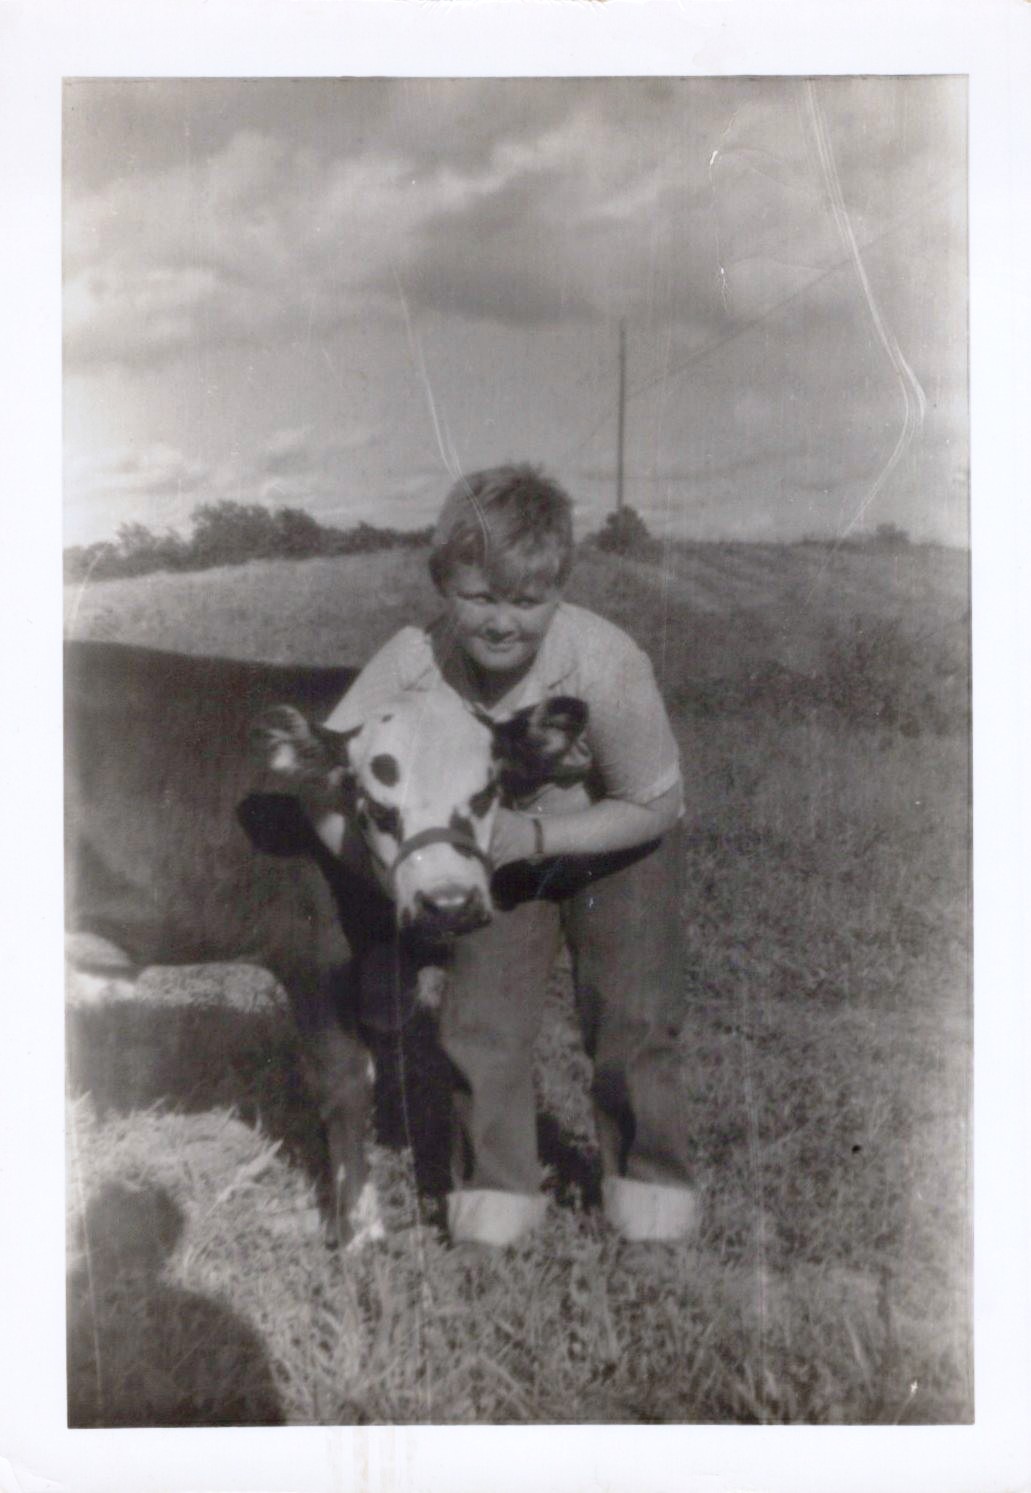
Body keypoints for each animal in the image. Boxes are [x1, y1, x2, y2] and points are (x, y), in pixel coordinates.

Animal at [65, 639, 587, 1246]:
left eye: (486, 794)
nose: (448, 903)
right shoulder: (312, 955)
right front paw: (361, 1230)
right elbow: (346, 1081)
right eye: (378, 807)